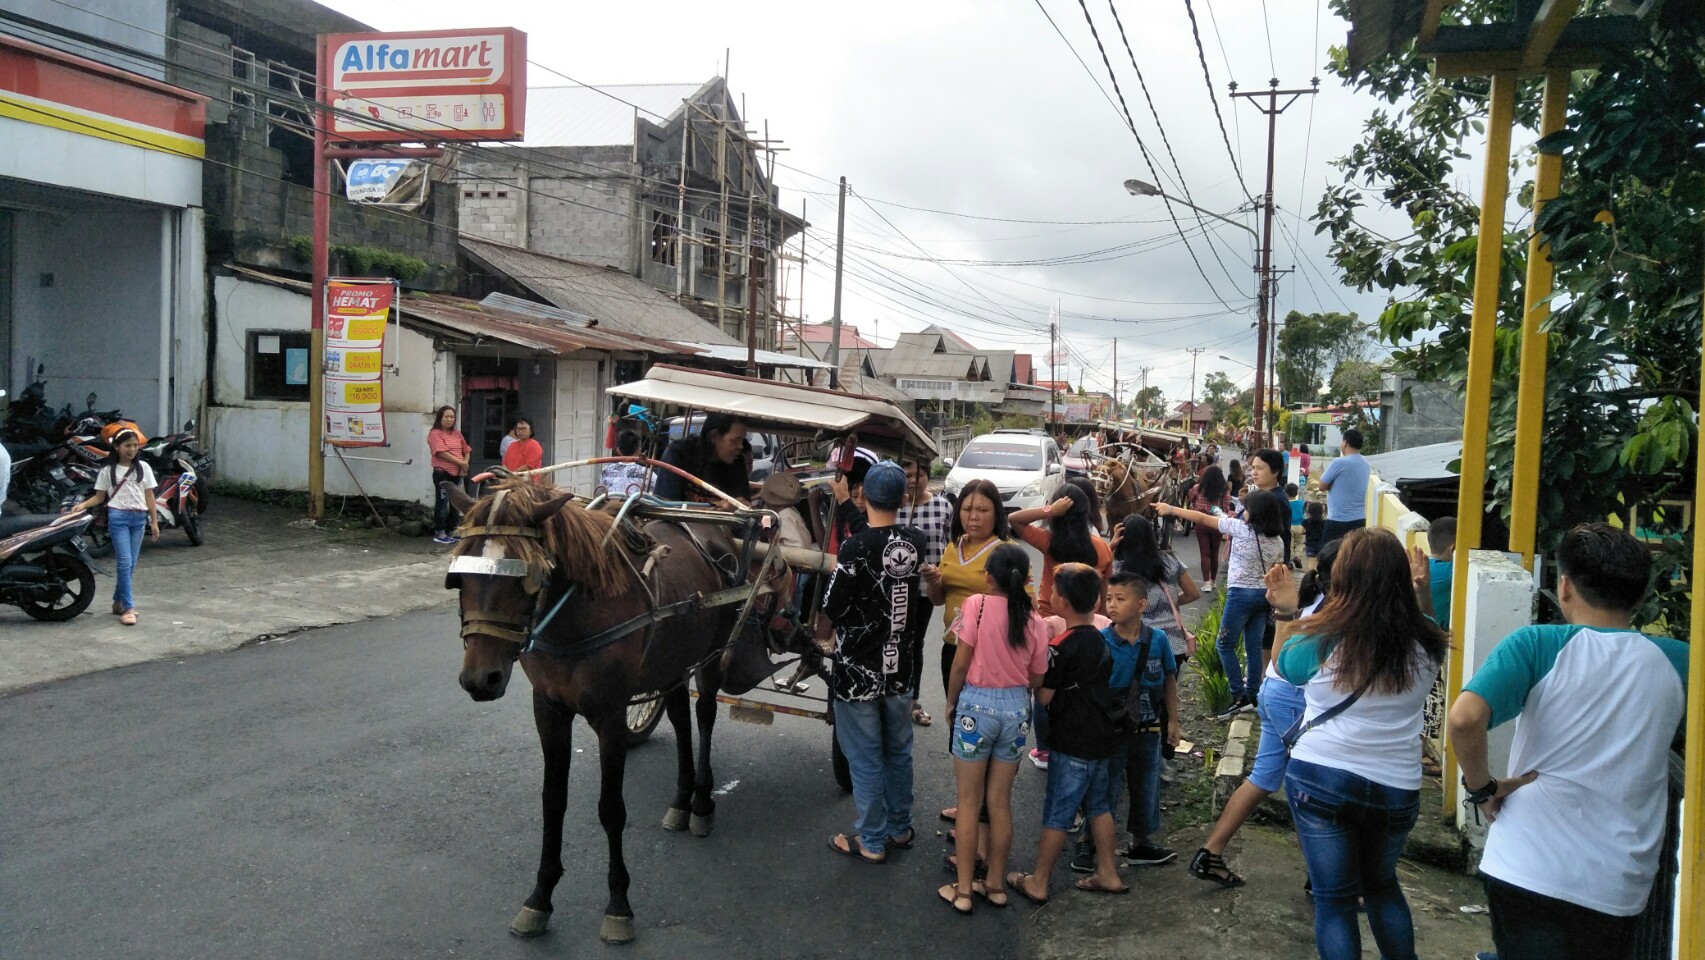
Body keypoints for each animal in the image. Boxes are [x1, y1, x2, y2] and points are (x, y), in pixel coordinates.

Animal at [446, 480, 780, 948]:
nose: (481, 679)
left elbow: (611, 809)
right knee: (680, 716)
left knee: (704, 715)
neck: (575, 611)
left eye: (528, 580)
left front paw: (619, 905)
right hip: (671, 659)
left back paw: (700, 802)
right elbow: (553, 800)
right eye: (458, 579)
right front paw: (540, 898)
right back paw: (680, 802)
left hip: (714, 653)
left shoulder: (610, 715)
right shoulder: (548, 709)